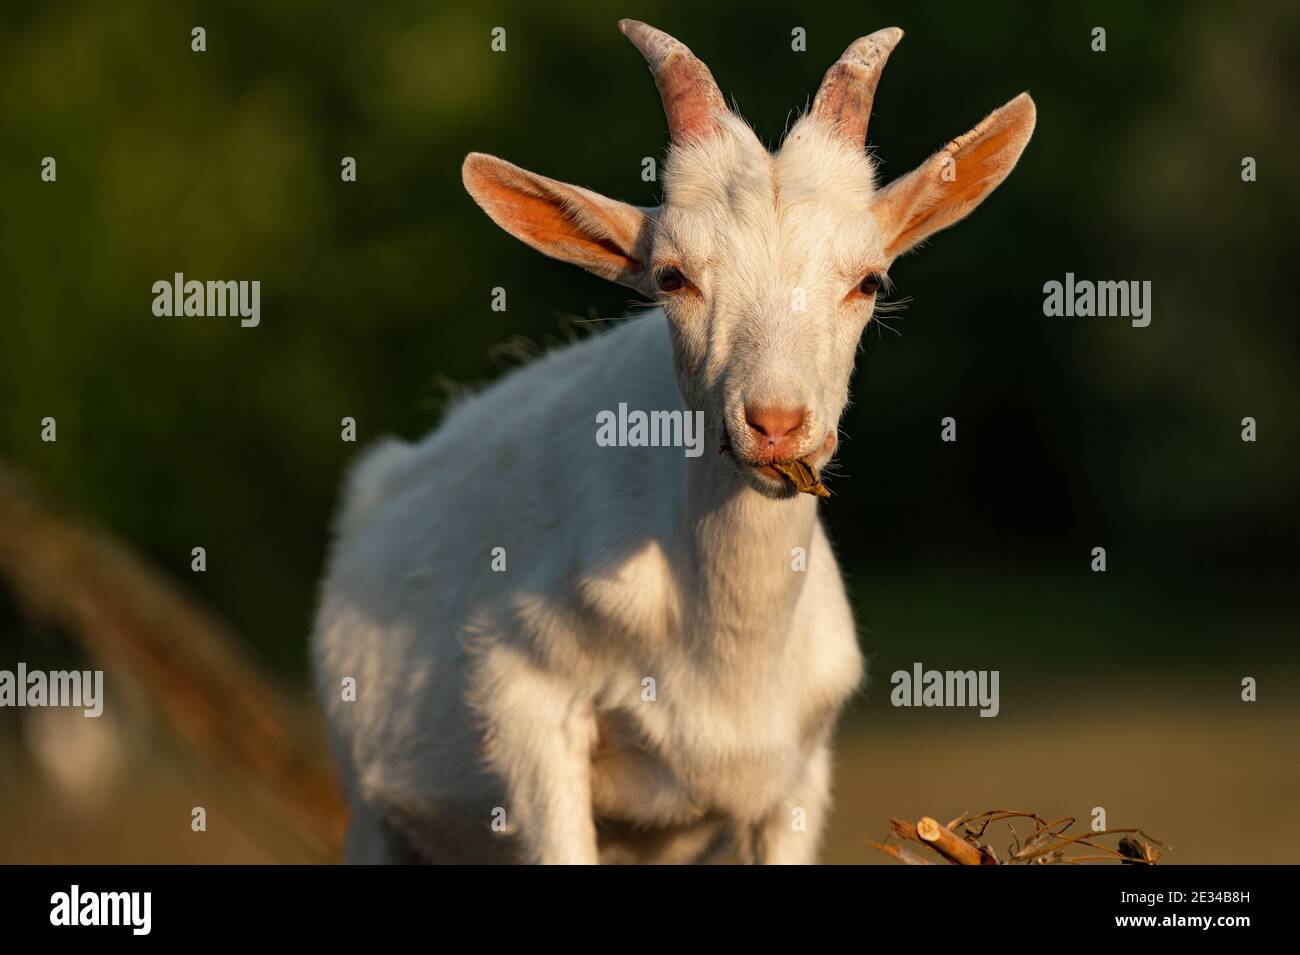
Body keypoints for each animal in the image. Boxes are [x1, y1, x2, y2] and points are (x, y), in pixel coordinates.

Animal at [312, 19, 1035, 864]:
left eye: (869, 281)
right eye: (673, 277)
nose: (777, 423)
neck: (725, 662)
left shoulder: (798, 774)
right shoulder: (528, 714)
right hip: (371, 809)